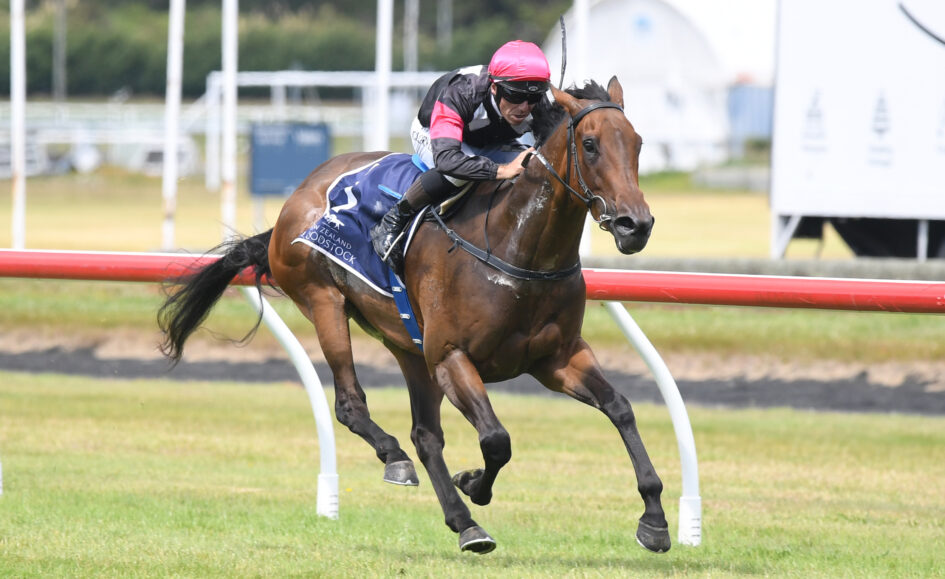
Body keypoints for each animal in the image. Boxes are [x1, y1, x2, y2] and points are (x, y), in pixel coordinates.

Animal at [158, 77, 669, 554]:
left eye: (638, 143)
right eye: (590, 144)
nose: (636, 225)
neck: (516, 247)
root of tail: (299, 194)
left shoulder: (556, 359)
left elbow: (621, 408)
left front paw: (655, 520)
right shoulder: (452, 356)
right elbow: (496, 439)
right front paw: (473, 484)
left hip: (409, 345)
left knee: (425, 435)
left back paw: (464, 523)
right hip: (325, 302)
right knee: (351, 404)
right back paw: (400, 461)